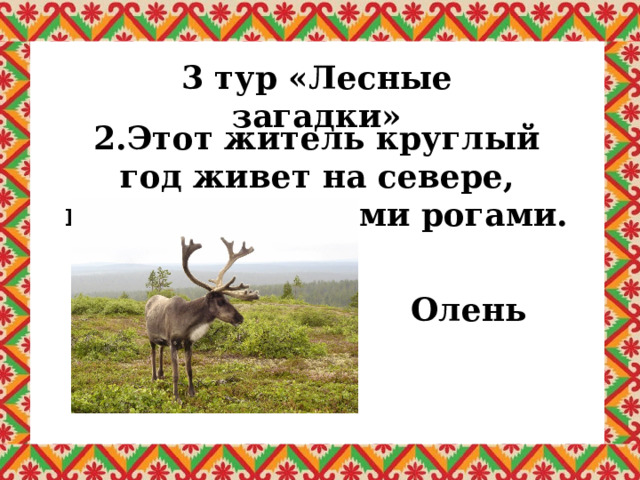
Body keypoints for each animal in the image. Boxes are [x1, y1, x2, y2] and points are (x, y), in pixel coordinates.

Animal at [145, 236, 259, 401]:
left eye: (227, 299)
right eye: (220, 301)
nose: (240, 317)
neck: (188, 323)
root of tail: (150, 299)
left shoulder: (188, 343)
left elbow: (190, 370)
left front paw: (192, 392)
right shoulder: (173, 342)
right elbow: (176, 373)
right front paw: (176, 397)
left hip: (162, 340)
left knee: (160, 349)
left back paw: (161, 374)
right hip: (150, 336)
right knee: (153, 352)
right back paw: (154, 377)